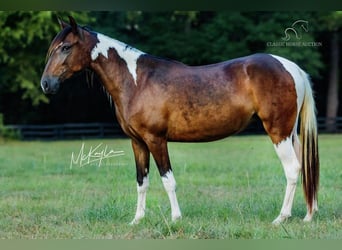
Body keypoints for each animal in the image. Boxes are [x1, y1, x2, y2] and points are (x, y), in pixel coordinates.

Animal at [41, 16, 320, 226]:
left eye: (66, 47)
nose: (46, 84)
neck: (137, 81)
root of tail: (291, 67)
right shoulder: (137, 142)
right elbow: (142, 182)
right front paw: (137, 219)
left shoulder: (156, 140)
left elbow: (168, 180)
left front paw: (176, 218)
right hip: (290, 133)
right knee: (304, 168)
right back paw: (308, 215)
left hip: (278, 132)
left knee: (292, 169)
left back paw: (281, 218)